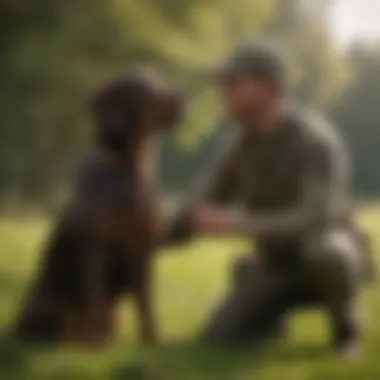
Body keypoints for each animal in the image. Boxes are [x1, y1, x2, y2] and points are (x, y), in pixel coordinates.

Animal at [15, 69, 185, 348]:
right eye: (144, 91)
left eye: (160, 81)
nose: (182, 99)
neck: (128, 172)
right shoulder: (96, 247)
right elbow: (94, 295)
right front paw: (95, 346)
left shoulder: (143, 248)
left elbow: (146, 304)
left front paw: (152, 342)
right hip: (47, 306)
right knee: (58, 329)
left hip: (114, 312)